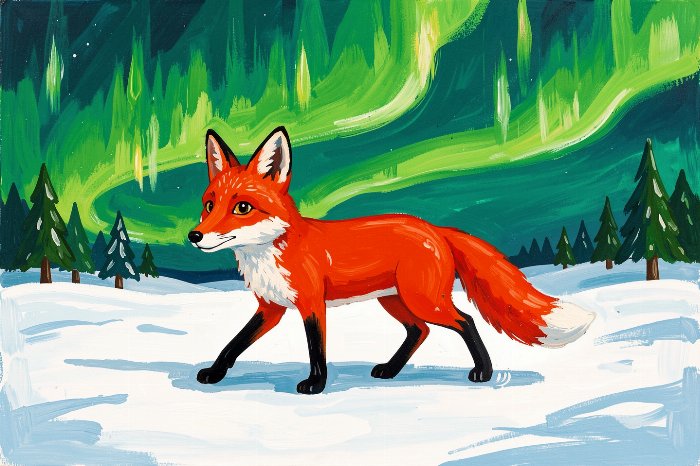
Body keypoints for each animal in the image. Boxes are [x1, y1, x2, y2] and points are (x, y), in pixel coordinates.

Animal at [189, 127, 595, 394]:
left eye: (242, 208)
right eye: (209, 205)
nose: (194, 236)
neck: (269, 252)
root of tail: (435, 227)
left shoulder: (311, 304)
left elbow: (316, 349)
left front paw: (316, 384)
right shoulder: (270, 308)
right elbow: (233, 344)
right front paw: (214, 373)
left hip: (422, 298)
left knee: (464, 321)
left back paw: (483, 372)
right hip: (395, 301)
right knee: (420, 331)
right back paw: (390, 370)